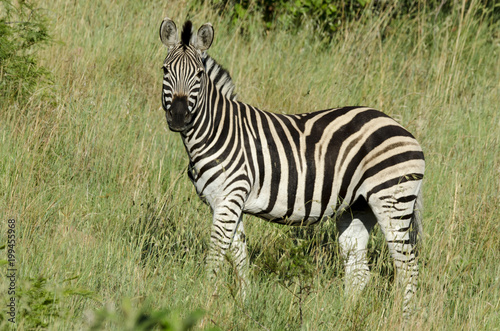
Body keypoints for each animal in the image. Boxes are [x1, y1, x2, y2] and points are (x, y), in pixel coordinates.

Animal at [158, 18, 424, 314]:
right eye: (165, 70)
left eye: (199, 74)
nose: (178, 117)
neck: (217, 131)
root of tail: (402, 129)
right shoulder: (226, 202)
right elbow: (239, 256)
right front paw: (244, 304)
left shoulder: (229, 198)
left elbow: (216, 254)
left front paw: (205, 301)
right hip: (357, 207)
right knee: (359, 270)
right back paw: (343, 315)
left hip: (392, 200)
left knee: (407, 268)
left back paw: (402, 317)